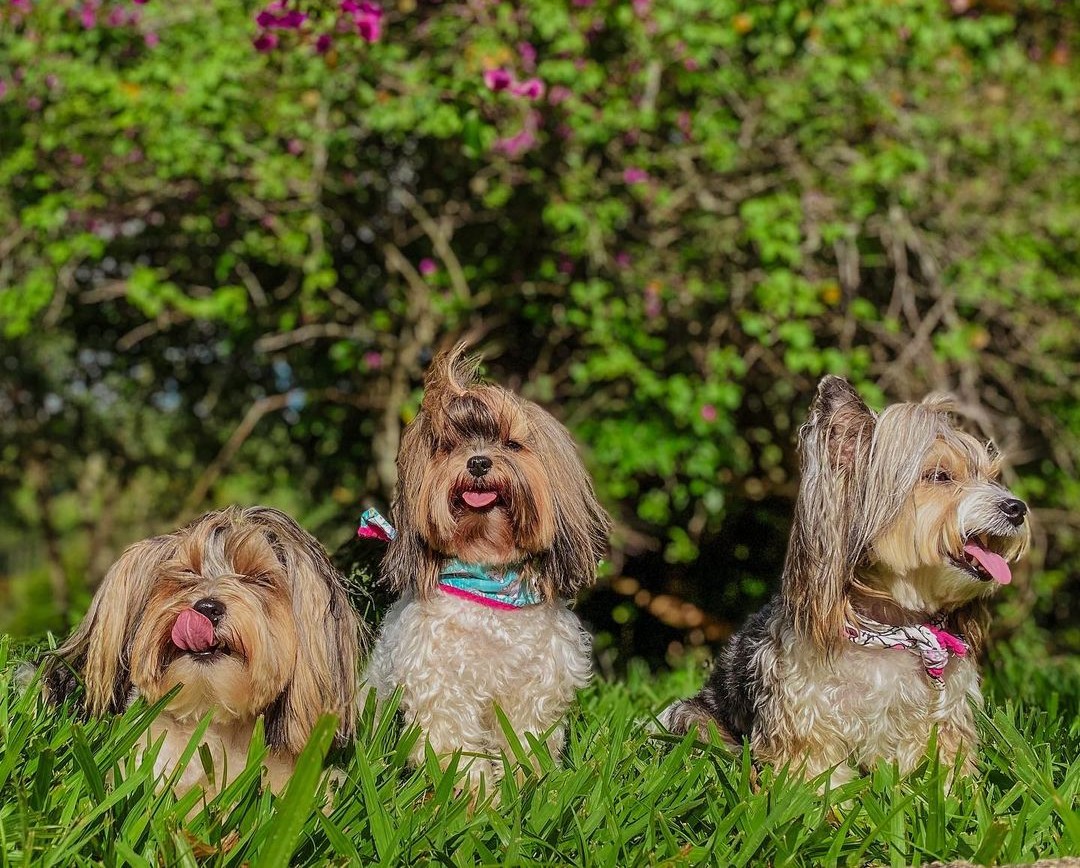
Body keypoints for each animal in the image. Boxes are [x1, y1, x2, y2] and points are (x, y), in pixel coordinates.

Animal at [367, 343, 613, 785]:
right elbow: (455, 749)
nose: (479, 462)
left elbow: (526, 742)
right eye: (448, 447)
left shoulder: (535, 688)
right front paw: (478, 795)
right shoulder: (440, 686)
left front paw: (527, 786)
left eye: (511, 445)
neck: (490, 581)